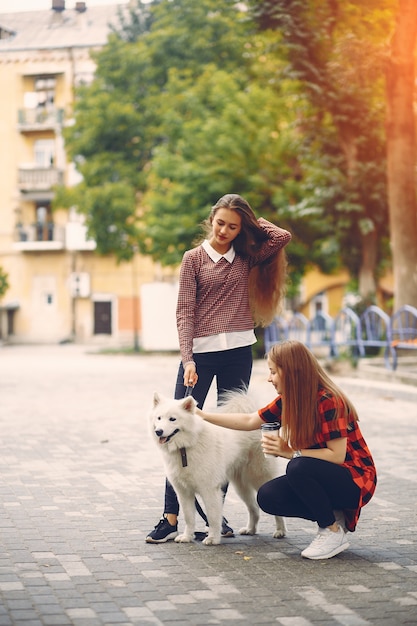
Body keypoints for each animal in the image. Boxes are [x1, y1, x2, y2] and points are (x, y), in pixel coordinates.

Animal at [149, 388, 286, 544]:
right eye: (159, 418)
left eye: (172, 419)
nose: (158, 431)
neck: (185, 448)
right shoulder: (184, 492)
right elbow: (189, 517)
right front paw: (187, 536)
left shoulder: (209, 489)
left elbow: (213, 517)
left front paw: (213, 538)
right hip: (241, 486)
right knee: (254, 508)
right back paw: (250, 529)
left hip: (260, 477)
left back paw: (280, 531)